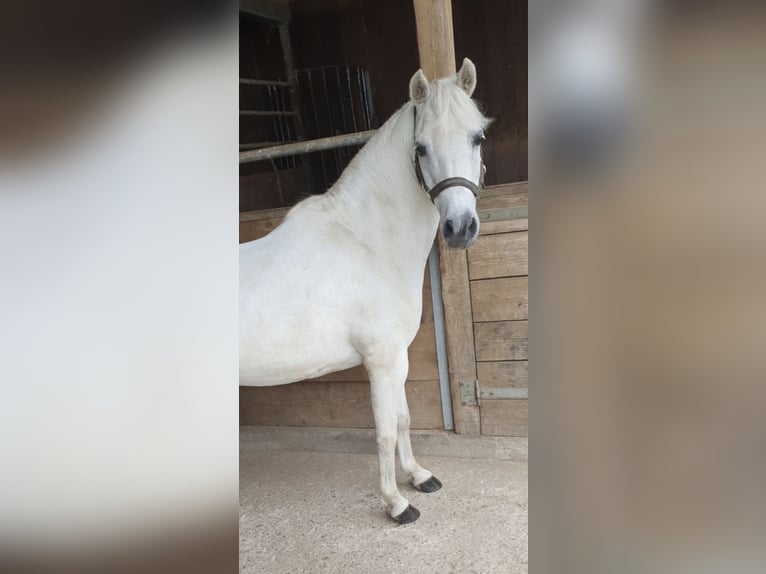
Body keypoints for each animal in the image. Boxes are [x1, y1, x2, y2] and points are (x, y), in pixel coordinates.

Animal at [242, 59, 492, 528]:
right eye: (421, 148)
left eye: (478, 137)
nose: (460, 229)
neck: (366, 241)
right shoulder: (379, 360)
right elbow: (384, 431)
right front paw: (396, 504)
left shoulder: (398, 357)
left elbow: (405, 419)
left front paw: (419, 477)